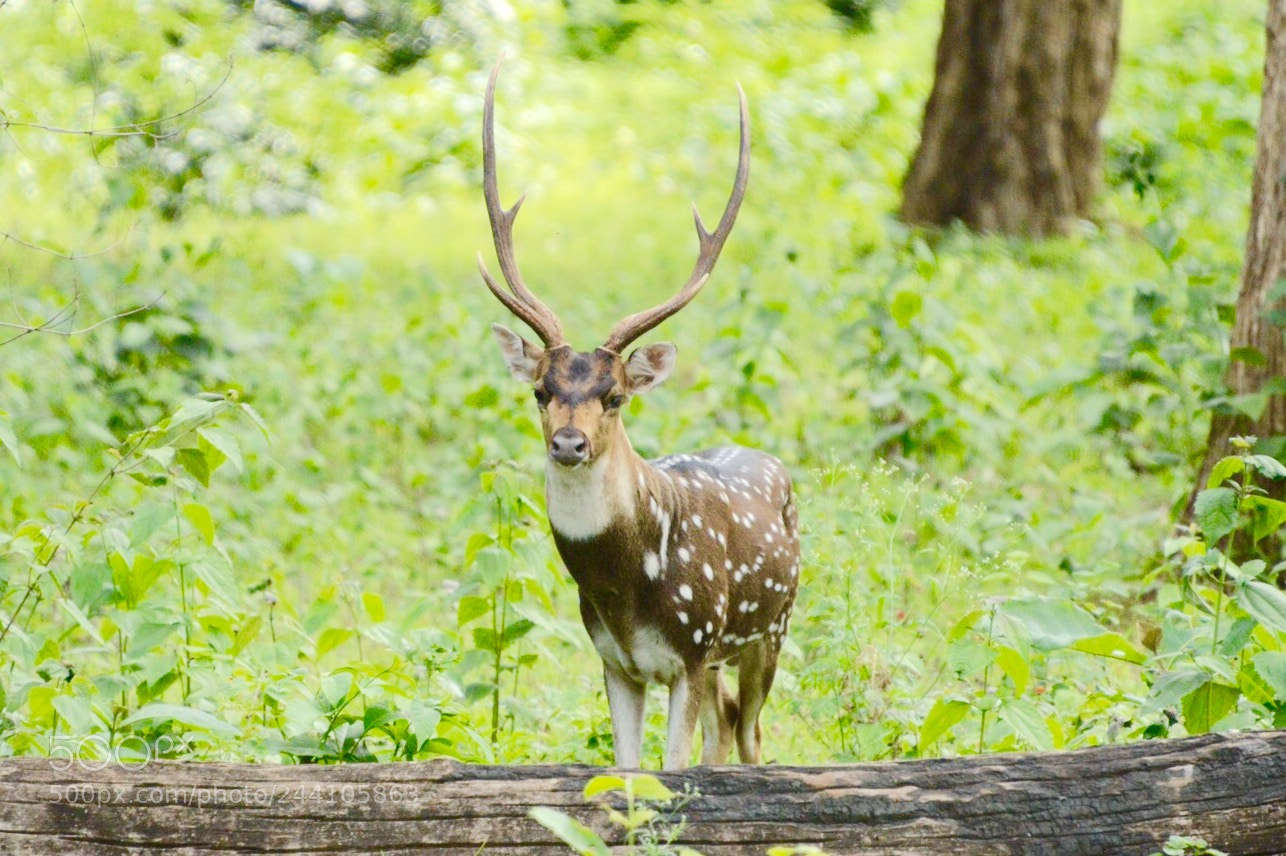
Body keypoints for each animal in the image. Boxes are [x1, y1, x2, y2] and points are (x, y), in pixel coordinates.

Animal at [477, 64, 799, 770]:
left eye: (616, 396)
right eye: (539, 390)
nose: (569, 444)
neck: (626, 593)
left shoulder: (693, 648)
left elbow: (670, 769)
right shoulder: (613, 659)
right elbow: (627, 773)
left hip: (771, 624)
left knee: (751, 731)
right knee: (724, 724)